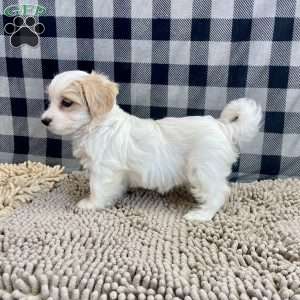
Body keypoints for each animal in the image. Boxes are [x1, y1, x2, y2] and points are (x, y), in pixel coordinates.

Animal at [42, 69, 262, 220]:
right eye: (50, 101)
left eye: (66, 103)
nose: (44, 120)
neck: (97, 125)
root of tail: (223, 127)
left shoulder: (103, 169)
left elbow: (96, 187)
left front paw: (90, 204)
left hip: (204, 170)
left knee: (218, 193)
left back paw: (201, 215)